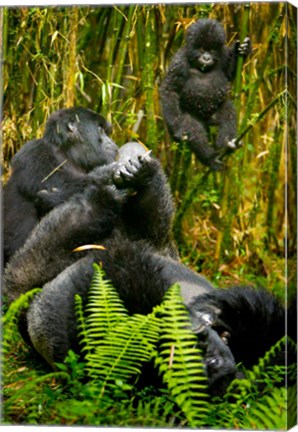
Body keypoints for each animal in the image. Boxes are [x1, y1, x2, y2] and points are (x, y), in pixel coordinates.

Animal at [3, 108, 118, 264]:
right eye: (101, 130)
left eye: (107, 131)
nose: (112, 142)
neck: (69, 154)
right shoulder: (33, 151)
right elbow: (59, 189)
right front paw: (106, 174)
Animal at [3, 148, 286, 394]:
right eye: (212, 346)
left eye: (207, 359)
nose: (200, 333)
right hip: (162, 244)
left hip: (22, 287)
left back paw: (95, 201)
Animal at [159, 19, 250, 170]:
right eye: (201, 49)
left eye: (211, 50)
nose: (206, 57)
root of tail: (206, 121)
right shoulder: (179, 61)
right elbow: (169, 90)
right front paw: (176, 125)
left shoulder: (222, 54)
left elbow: (229, 72)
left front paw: (242, 50)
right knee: (192, 128)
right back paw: (211, 158)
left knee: (228, 112)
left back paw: (227, 144)